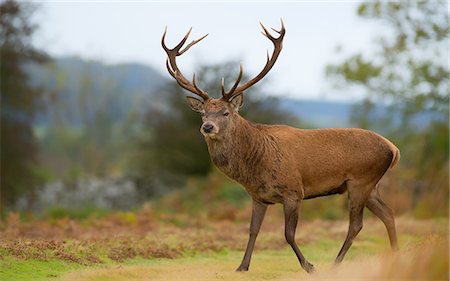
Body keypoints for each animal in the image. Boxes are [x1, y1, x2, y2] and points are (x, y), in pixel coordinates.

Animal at [160, 20, 400, 274]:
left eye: (225, 112)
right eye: (203, 113)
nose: (207, 127)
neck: (255, 165)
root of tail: (393, 149)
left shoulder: (294, 191)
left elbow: (288, 233)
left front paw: (309, 266)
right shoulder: (258, 196)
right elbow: (253, 230)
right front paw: (242, 266)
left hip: (360, 180)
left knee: (356, 224)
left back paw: (336, 263)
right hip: (370, 186)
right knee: (388, 214)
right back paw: (396, 255)